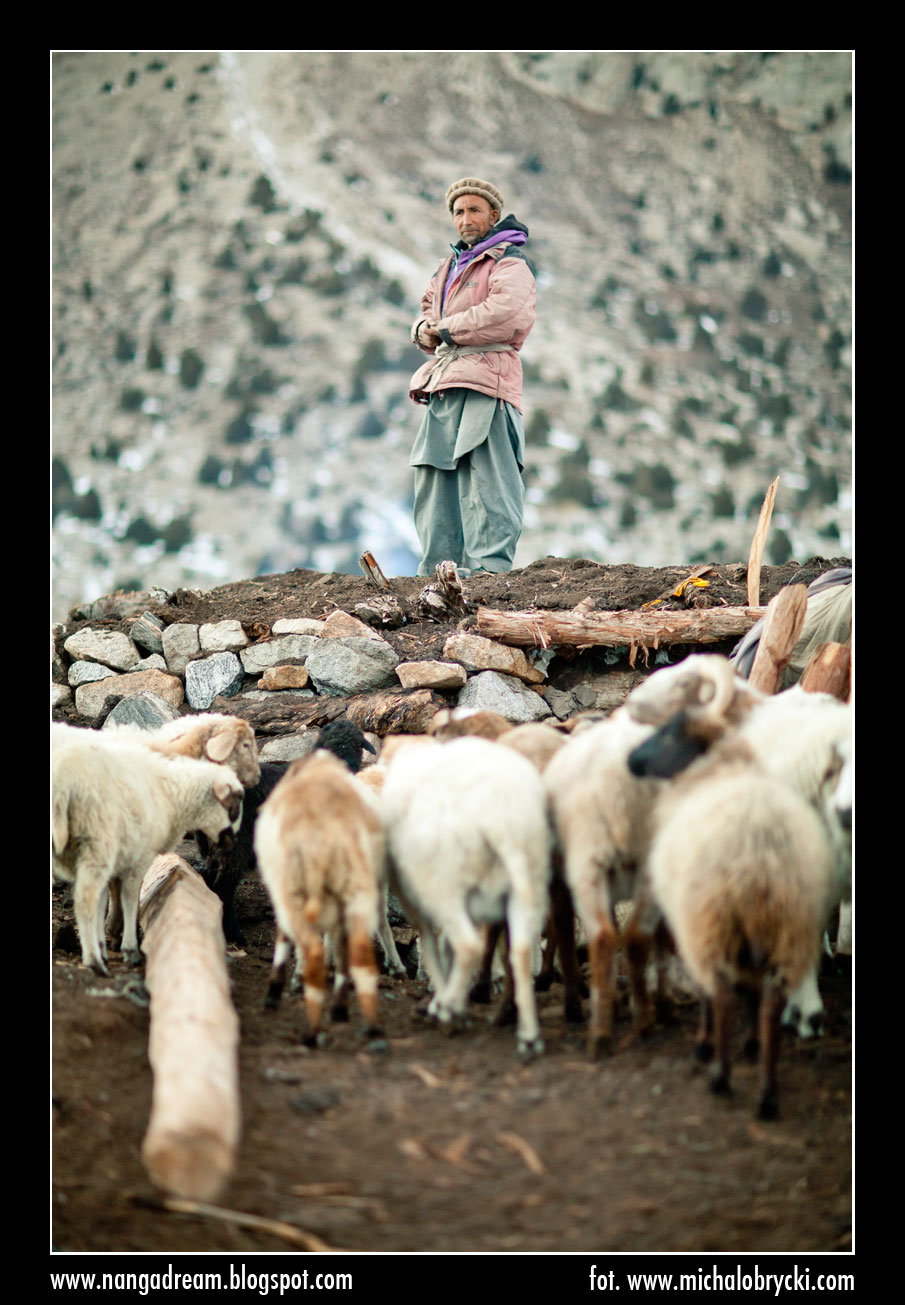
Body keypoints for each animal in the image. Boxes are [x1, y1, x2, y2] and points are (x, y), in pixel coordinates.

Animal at [51, 725, 244, 981]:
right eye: (232, 808)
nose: (234, 843)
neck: (172, 795)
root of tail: (64, 779)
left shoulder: (117, 859)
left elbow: (104, 902)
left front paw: (105, 943)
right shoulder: (136, 858)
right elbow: (130, 899)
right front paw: (128, 948)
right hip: (97, 841)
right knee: (85, 901)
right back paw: (93, 961)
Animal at [252, 751, 386, 1044]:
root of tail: (322, 839)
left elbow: (283, 937)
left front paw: (275, 992)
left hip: (292, 889)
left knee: (313, 951)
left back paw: (312, 1032)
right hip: (356, 888)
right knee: (361, 955)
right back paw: (362, 1022)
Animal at [378, 741, 545, 1054]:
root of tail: (501, 821)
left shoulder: (415, 898)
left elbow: (431, 945)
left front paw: (439, 1000)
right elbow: (444, 945)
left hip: (445, 885)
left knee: (469, 945)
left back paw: (449, 1008)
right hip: (527, 880)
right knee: (520, 950)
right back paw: (528, 1034)